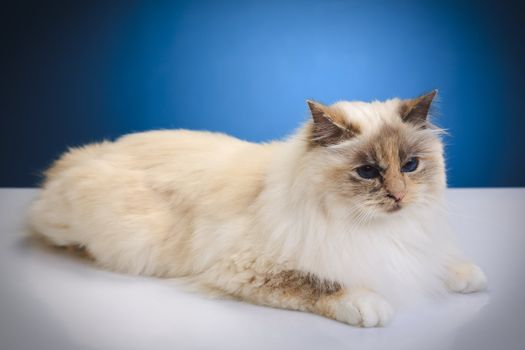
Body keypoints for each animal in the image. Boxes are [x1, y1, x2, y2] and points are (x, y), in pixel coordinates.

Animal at [28, 91, 486, 328]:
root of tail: (85, 153)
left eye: (410, 166)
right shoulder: (247, 267)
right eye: (367, 172)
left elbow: (438, 261)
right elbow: (320, 284)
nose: (399, 197)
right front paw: (370, 306)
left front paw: (468, 276)